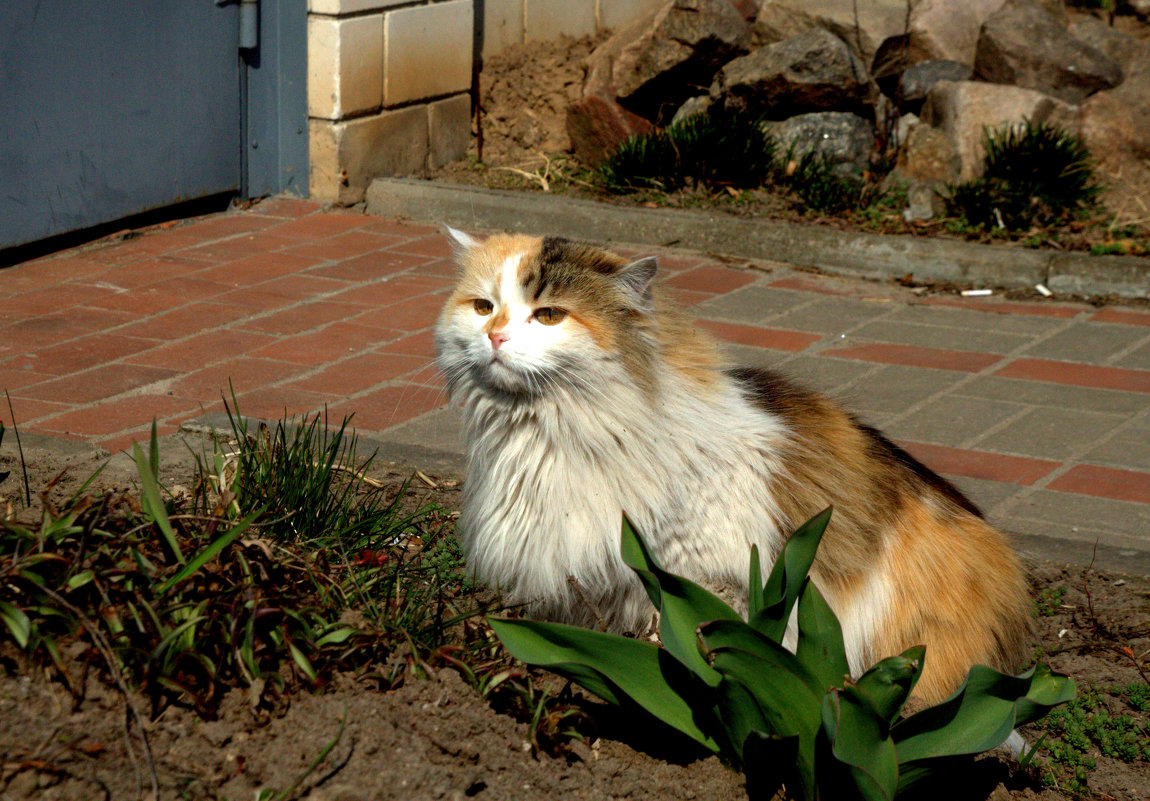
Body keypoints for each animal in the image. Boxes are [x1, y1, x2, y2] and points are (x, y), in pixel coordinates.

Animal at [432, 226, 1035, 698]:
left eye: (549, 315)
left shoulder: (702, 580)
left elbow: (674, 641)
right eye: (483, 307)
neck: (550, 436)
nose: (495, 335)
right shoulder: (584, 585)